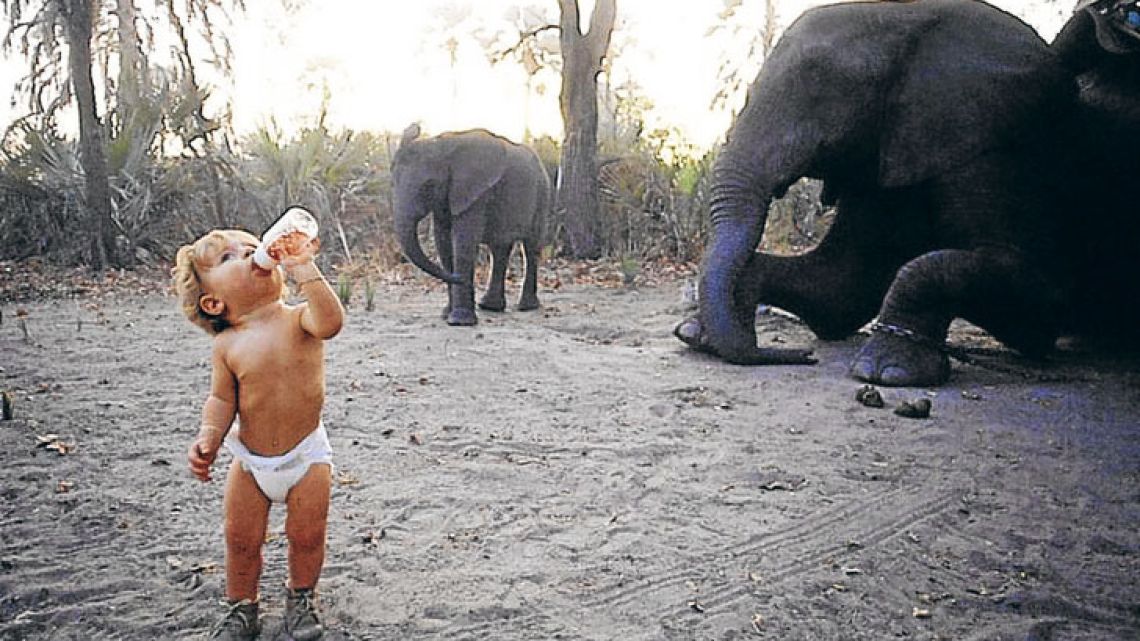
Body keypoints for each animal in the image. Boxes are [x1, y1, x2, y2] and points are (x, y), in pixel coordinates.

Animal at [394, 123, 549, 323]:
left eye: (428, 186)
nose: (458, 278)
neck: (442, 145)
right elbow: (443, 244)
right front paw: (446, 315)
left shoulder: (476, 192)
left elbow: (463, 243)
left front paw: (459, 322)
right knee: (499, 249)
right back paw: (490, 307)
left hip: (542, 194)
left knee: (530, 247)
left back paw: (526, 307)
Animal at [674, 0, 1140, 383]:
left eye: (821, 91)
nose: (800, 355)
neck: (910, 17)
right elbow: (839, 286)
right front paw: (700, 332)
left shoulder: (991, 146)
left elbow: (1040, 297)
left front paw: (888, 373)